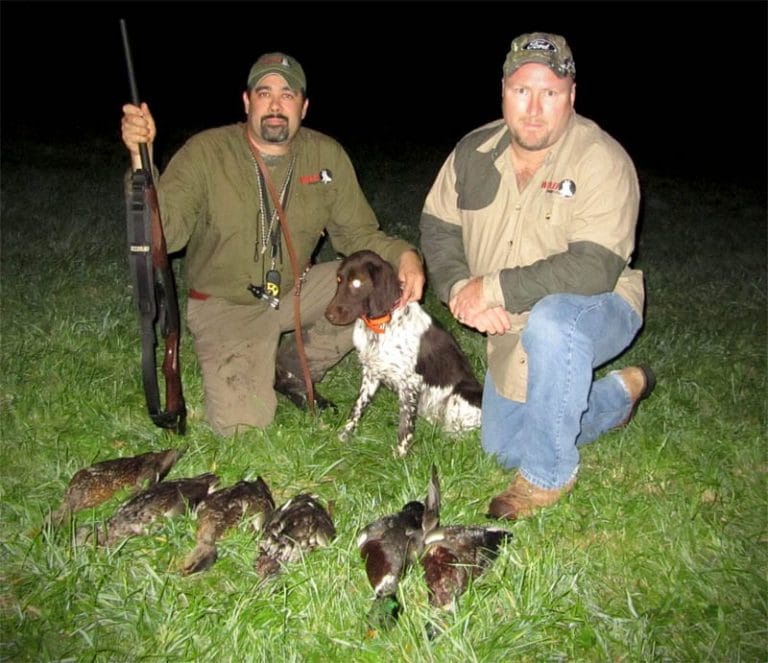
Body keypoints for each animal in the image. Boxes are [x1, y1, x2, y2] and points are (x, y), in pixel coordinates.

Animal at [324, 249, 480, 456]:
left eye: (357, 283)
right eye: (339, 279)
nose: (329, 315)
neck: (380, 326)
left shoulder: (410, 383)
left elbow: (405, 424)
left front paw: (400, 455)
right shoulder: (371, 374)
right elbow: (357, 407)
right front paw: (344, 435)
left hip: (460, 394)